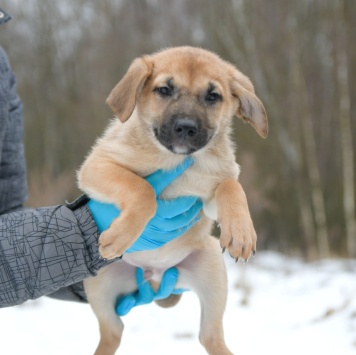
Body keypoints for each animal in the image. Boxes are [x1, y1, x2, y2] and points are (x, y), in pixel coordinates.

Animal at [78, 47, 268, 355]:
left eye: (213, 96)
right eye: (164, 90)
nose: (186, 128)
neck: (176, 159)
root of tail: (154, 275)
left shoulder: (208, 196)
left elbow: (231, 186)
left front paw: (241, 233)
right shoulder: (98, 167)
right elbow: (143, 190)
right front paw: (119, 238)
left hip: (212, 272)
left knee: (210, 336)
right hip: (99, 285)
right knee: (111, 334)